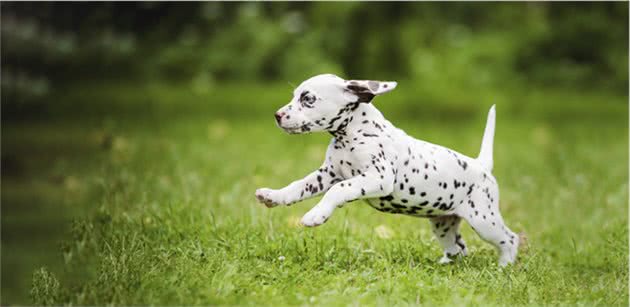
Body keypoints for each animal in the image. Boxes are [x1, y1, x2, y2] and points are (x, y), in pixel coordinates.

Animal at [254, 74, 520, 268]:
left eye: (308, 99)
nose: (277, 115)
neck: (351, 133)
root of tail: (481, 165)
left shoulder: (378, 178)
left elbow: (339, 190)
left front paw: (315, 215)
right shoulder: (327, 175)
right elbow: (298, 186)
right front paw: (273, 196)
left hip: (484, 220)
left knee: (510, 238)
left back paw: (504, 267)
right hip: (443, 224)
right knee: (458, 248)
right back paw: (445, 264)